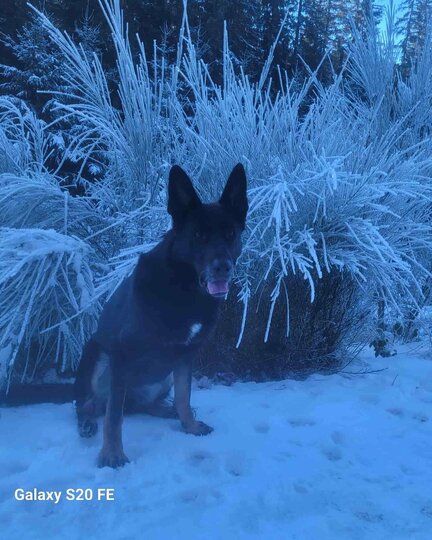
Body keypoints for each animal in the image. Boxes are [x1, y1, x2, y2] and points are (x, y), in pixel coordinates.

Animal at [75, 163, 246, 468]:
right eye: (198, 235)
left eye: (230, 234)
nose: (223, 267)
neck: (184, 290)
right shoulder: (121, 353)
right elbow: (113, 417)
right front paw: (112, 453)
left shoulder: (186, 354)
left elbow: (184, 395)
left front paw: (189, 425)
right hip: (96, 355)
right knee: (90, 405)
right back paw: (87, 422)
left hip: (161, 374)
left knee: (142, 405)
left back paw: (165, 410)